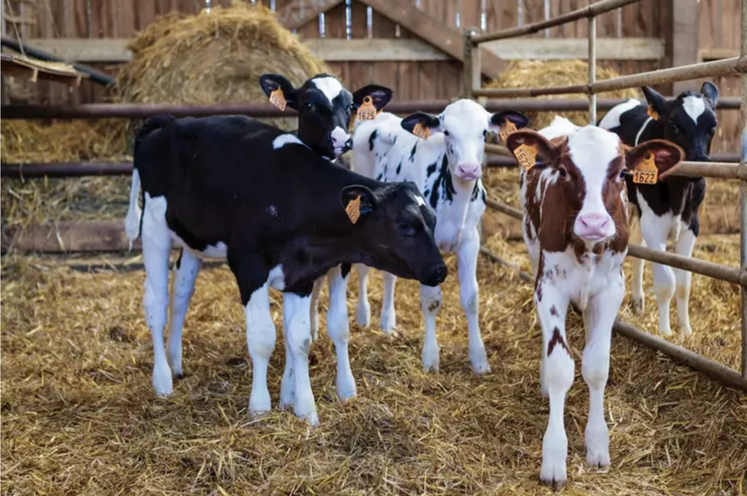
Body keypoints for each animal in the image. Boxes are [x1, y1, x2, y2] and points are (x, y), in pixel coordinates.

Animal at [125, 114, 448, 424]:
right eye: (405, 225)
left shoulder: (300, 275)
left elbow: (300, 339)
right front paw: (260, 407)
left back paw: (176, 363)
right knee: (156, 303)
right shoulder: (249, 267)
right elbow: (262, 338)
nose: (439, 270)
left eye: (433, 219)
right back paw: (162, 380)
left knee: (181, 295)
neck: (292, 194)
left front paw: (305, 409)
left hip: (193, 241)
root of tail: (170, 122)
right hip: (154, 229)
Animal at [352, 99, 532, 374]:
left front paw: (479, 359)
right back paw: (363, 316)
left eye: (484, 133)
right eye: (447, 132)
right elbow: (431, 300)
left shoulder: (470, 240)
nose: (468, 169)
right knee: (363, 269)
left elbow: (471, 297)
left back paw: (388, 322)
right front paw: (430, 358)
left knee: (389, 274)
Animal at [506, 119, 688, 488]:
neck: (585, 246)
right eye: (564, 170)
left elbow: (597, 366)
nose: (594, 223)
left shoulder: (610, 291)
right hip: (534, 255)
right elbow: (561, 366)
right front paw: (554, 457)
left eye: (622, 173)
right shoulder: (549, 287)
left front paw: (597, 443)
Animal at [600, 83, 720, 336]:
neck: (680, 189)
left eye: (712, 125)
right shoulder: (654, 224)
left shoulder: (691, 225)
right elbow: (667, 281)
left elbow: (684, 282)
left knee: (636, 244)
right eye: (674, 125)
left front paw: (685, 331)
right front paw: (665, 332)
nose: (699, 159)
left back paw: (638, 302)